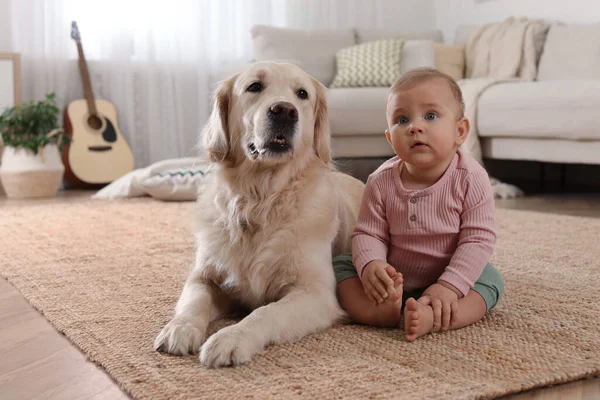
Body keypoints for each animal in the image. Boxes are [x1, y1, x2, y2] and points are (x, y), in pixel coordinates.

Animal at [152, 61, 364, 368]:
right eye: (254, 86)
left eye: (302, 93)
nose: (285, 110)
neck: (260, 200)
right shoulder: (203, 276)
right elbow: (193, 301)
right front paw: (179, 328)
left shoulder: (316, 293)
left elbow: (266, 312)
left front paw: (231, 338)